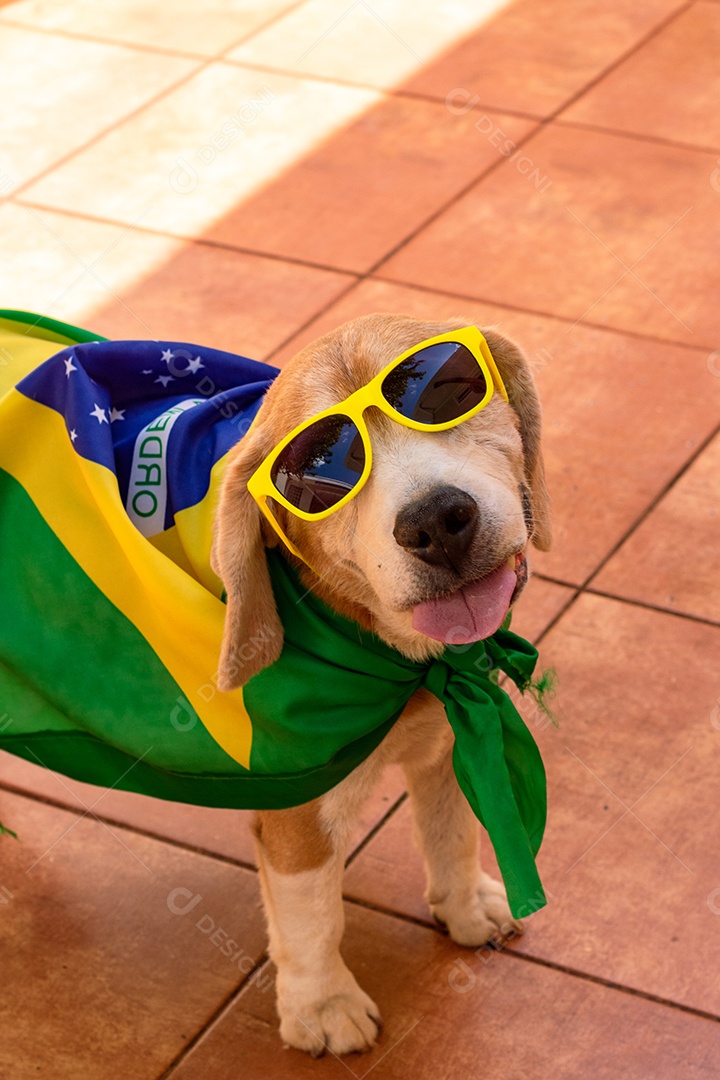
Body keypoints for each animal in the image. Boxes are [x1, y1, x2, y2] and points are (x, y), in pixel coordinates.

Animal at [209, 311, 552, 1054]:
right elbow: (314, 916)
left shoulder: (451, 742)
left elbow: (452, 833)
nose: (435, 522)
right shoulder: (298, 815)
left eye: (450, 391)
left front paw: (465, 905)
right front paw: (322, 1005)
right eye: (314, 474)